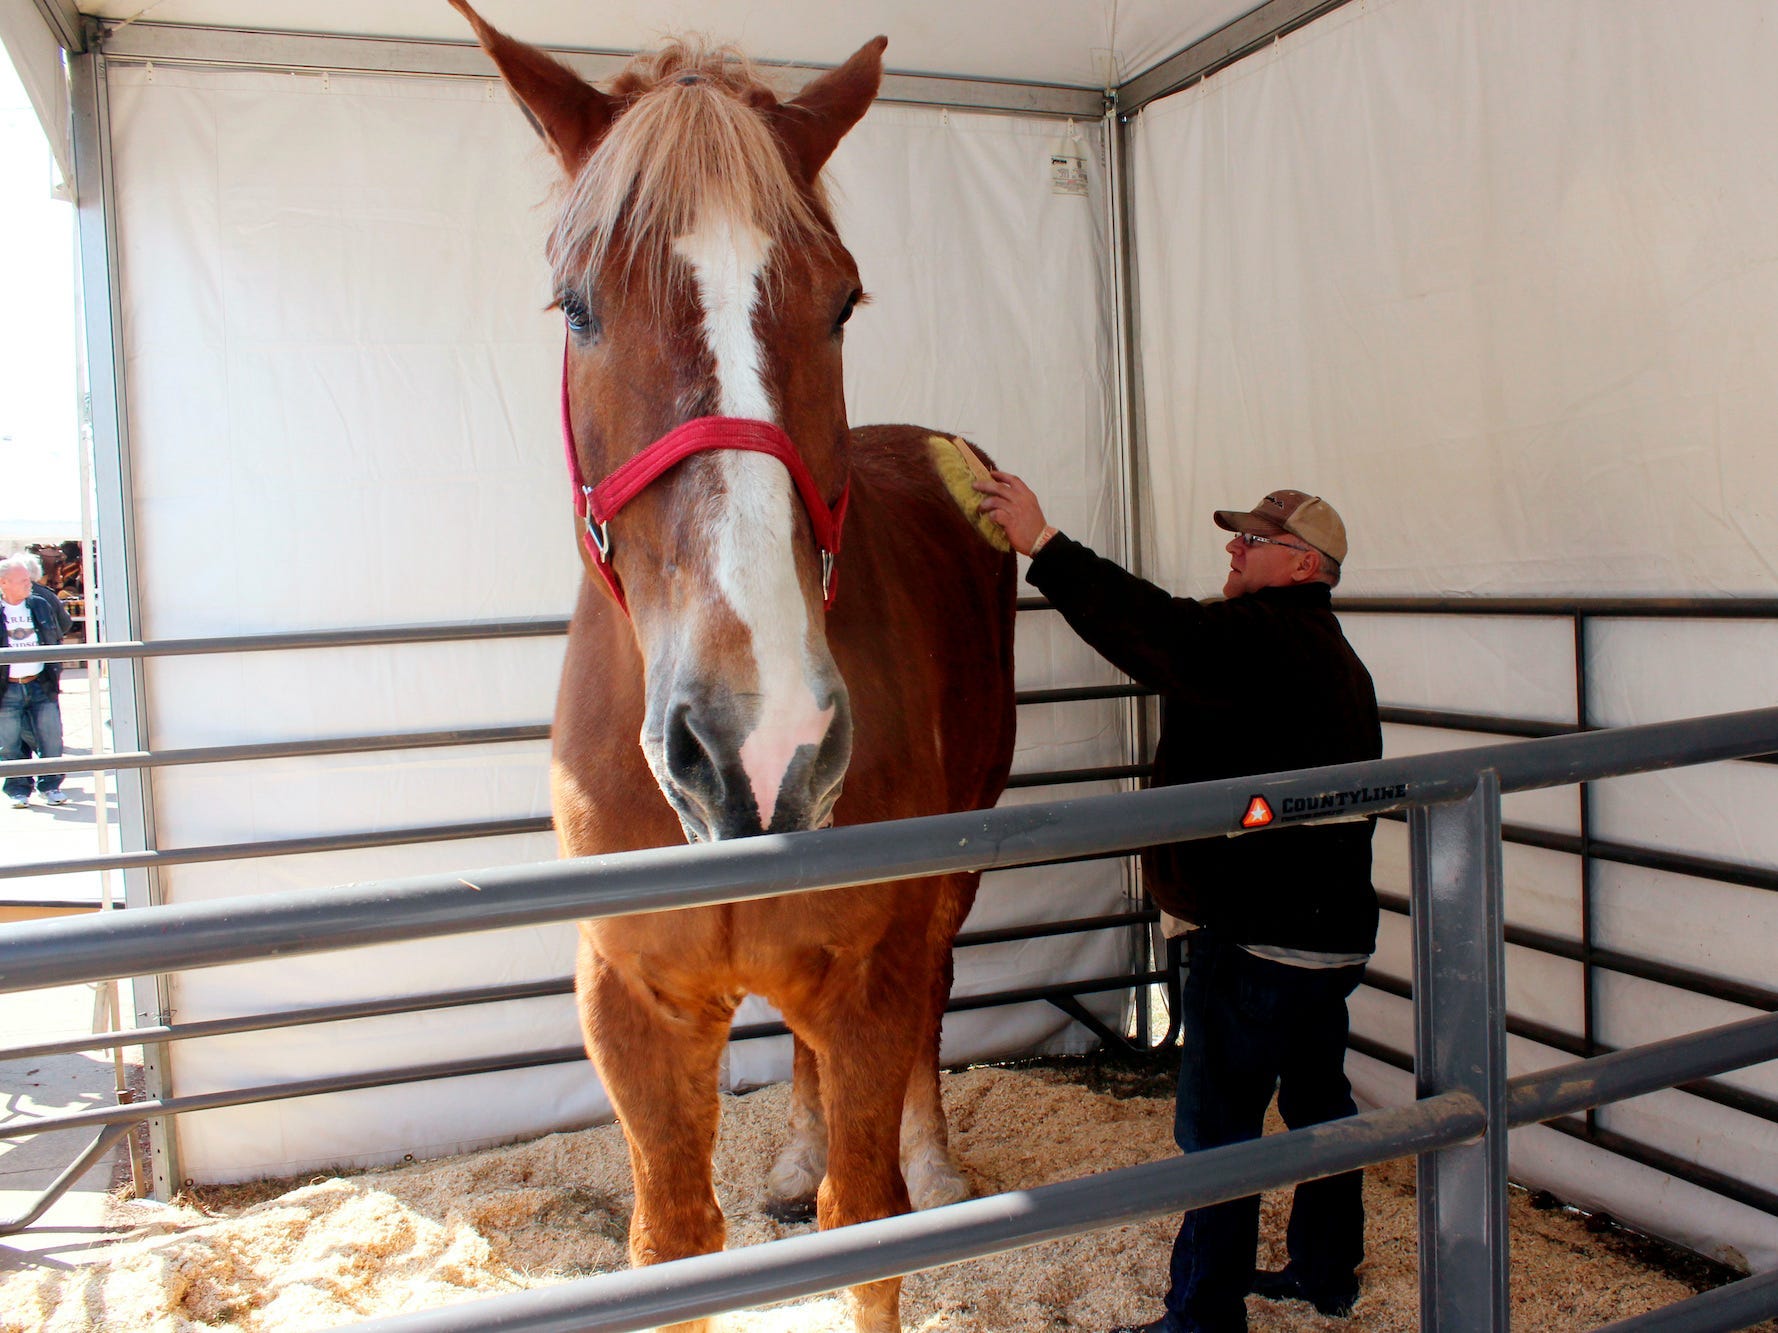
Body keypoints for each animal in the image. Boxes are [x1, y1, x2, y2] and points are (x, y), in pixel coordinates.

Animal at [451, 5, 1024, 1329]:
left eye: (843, 302)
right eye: (576, 307)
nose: (759, 747)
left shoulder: (869, 977)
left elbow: (864, 1230)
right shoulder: (636, 1006)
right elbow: (675, 1245)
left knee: (936, 987)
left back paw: (932, 1155)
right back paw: (797, 1149)